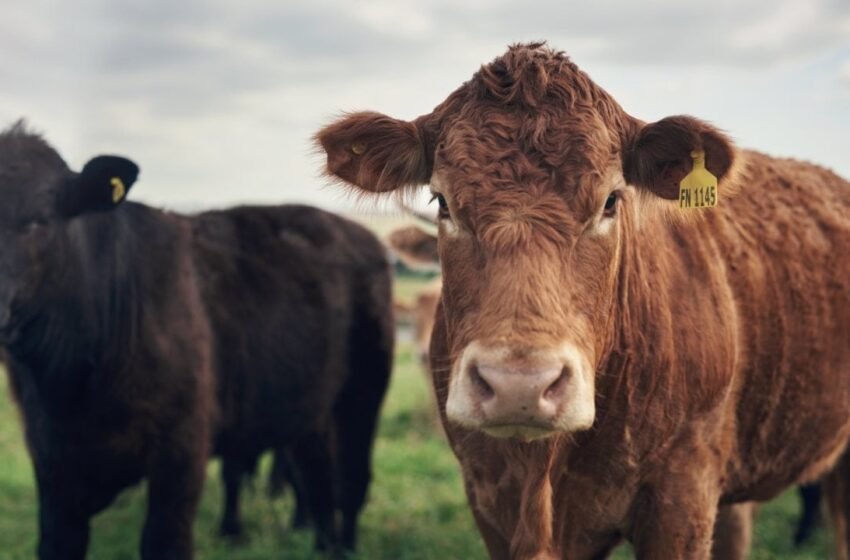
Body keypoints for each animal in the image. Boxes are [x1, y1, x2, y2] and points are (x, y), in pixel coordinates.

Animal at [0, 122, 393, 559]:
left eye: (38, 221)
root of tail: (358, 232)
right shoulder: (51, 462)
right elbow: (57, 541)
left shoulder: (182, 448)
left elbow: (165, 540)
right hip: (309, 407)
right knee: (318, 481)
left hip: (363, 392)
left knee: (351, 482)